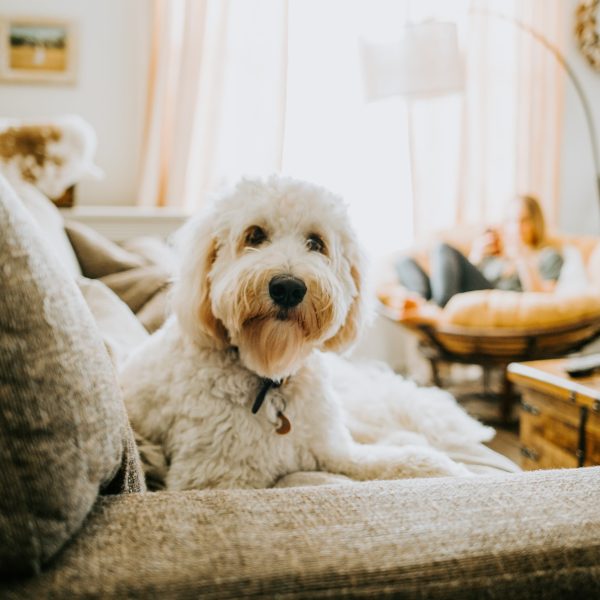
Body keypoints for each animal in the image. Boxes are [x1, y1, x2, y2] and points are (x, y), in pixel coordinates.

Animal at [120, 176, 474, 490]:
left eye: (316, 243)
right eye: (254, 235)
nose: (288, 288)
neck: (271, 377)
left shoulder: (335, 450)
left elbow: (402, 461)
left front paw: (447, 469)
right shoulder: (216, 480)